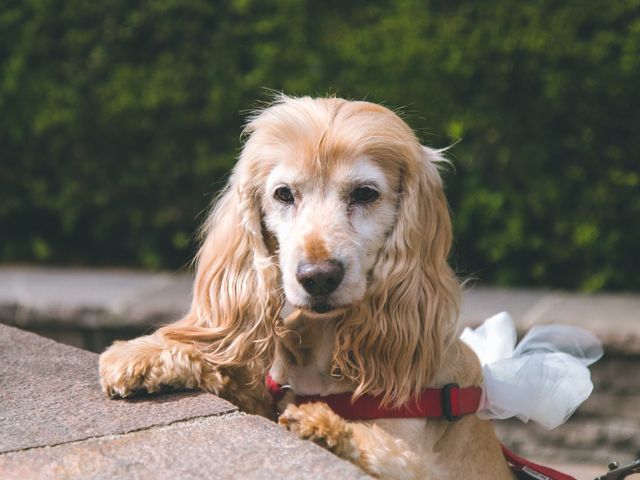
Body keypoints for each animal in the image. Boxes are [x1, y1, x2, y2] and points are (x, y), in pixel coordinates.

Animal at [99, 95, 510, 478]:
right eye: (284, 193)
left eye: (365, 193)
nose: (318, 277)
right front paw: (144, 356)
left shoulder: (419, 458)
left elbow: (391, 452)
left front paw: (324, 426)